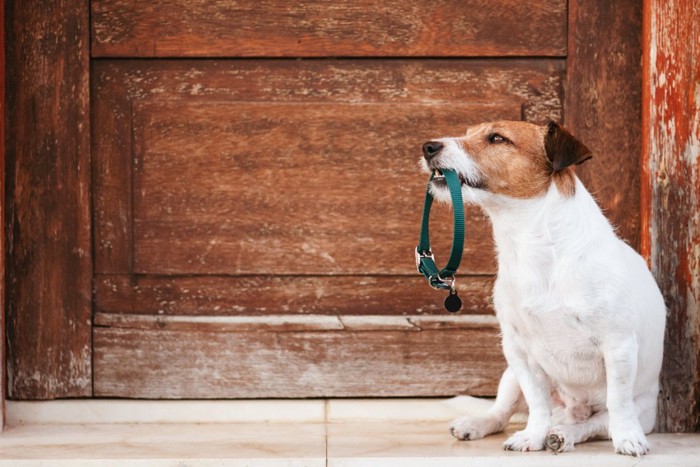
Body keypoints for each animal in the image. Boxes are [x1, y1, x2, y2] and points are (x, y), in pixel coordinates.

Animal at [422, 120, 668, 458]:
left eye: (497, 138)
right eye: (469, 132)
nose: (428, 146)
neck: (532, 244)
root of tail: (570, 410)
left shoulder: (618, 346)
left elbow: (618, 402)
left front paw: (628, 439)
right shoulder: (518, 351)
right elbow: (537, 402)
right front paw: (533, 435)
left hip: (638, 411)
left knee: (594, 424)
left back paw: (564, 434)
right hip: (509, 376)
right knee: (502, 412)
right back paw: (481, 424)